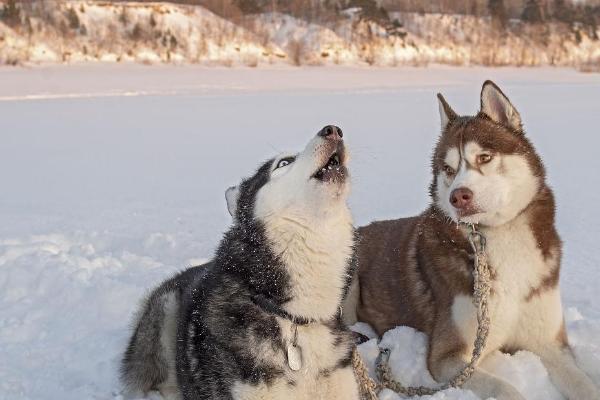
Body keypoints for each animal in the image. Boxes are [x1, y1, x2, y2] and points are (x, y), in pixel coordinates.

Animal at [342, 82, 600, 400]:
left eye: (485, 157)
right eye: (448, 169)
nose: (459, 196)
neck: (498, 235)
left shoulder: (550, 344)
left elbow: (584, 384)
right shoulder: (447, 356)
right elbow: (506, 388)